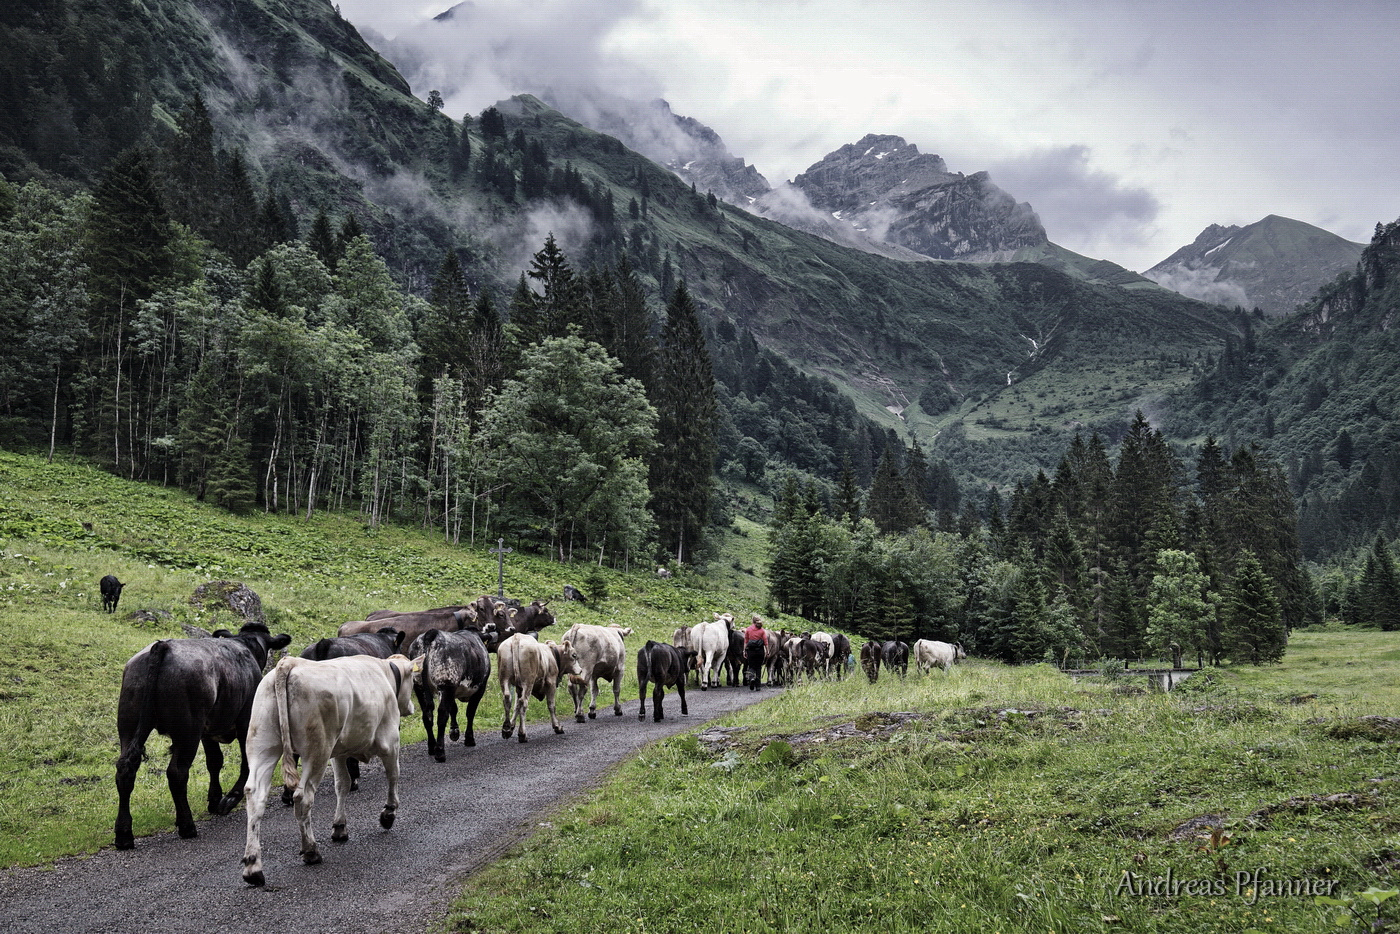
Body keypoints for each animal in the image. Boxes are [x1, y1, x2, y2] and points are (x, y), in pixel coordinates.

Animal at [115, 624, 292, 851]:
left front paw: (214, 798)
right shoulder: (245, 722)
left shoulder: (208, 731)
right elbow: (245, 763)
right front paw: (230, 799)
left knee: (126, 768)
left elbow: (214, 761)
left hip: (130, 724)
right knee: (177, 772)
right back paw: (186, 825)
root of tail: (162, 646)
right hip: (188, 730)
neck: (245, 645)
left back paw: (124, 834)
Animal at [238, 655, 420, 890]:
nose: (412, 707)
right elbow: (393, 775)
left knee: (255, 796)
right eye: (413, 680)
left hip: (262, 742)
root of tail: (290, 662)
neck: (384, 672)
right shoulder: (390, 741)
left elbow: (343, 784)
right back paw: (310, 850)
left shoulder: (340, 753)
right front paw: (388, 814)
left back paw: (253, 867)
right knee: (303, 797)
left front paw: (340, 826)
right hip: (318, 749)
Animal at [408, 627, 492, 761]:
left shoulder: (451, 691)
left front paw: (454, 732)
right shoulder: (479, 689)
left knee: (427, 716)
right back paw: (440, 752)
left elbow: (454, 709)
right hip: (446, 684)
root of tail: (431, 634)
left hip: (420, 687)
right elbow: (470, 712)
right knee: (442, 715)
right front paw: (469, 739)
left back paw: (432, 747)